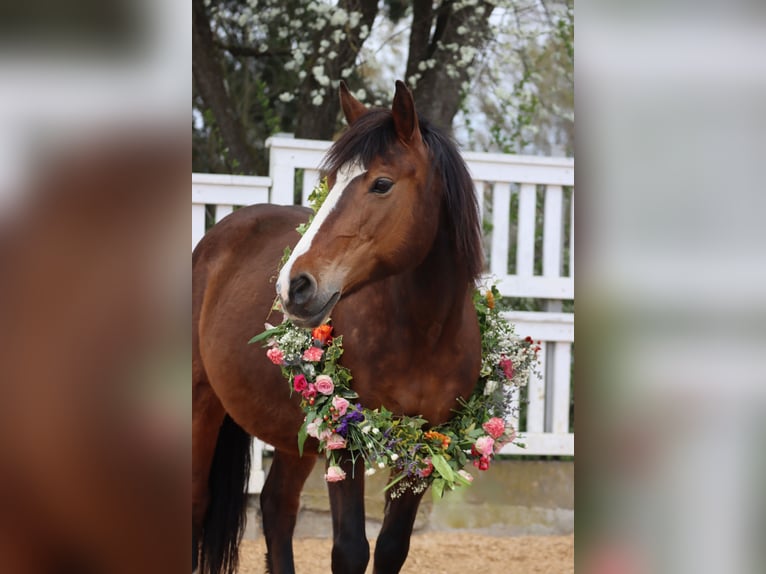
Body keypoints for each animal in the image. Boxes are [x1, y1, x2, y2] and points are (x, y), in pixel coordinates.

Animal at [196, 82, 486, 574]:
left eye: (382, 183)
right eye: (330, 183)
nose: (293, 285)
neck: (423, 335)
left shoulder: (425, 447)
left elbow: (391, 548)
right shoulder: (344, 439)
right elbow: (350, 550)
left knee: (276, 507)